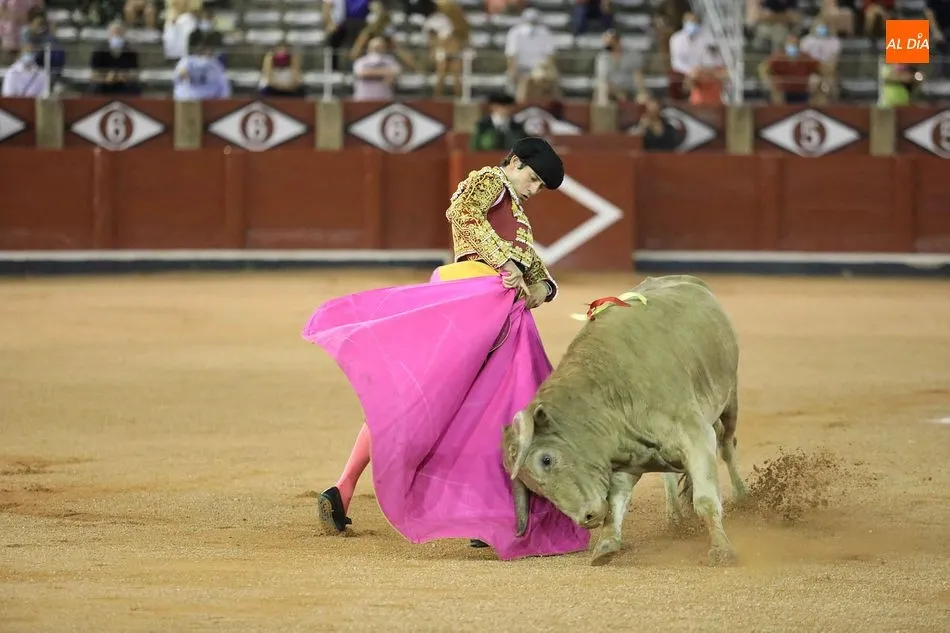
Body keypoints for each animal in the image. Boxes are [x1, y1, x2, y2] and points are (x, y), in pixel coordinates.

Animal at [501, 274, 749, 566]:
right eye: (535, 490)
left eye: (546, 459)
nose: (587, 518)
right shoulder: (627, 462)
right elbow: (616, 504)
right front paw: (607, 545)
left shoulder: (695, 435)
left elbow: (706, 498)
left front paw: (721, 550)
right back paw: (674, 516)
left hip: (729, 398)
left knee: (727, 444)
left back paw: (743, 498)